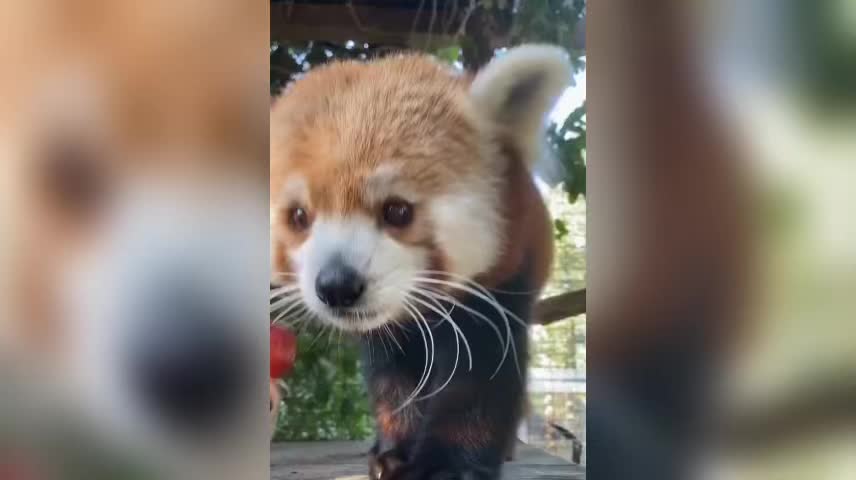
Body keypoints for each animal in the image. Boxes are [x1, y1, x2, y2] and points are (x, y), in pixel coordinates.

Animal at [270, 46, 572, 480]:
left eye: (397, 211)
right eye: (298, 216)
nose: (336, 286)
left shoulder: (502, 282)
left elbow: (480, 373)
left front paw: (447, 465)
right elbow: (393, 377)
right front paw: (395, 450)